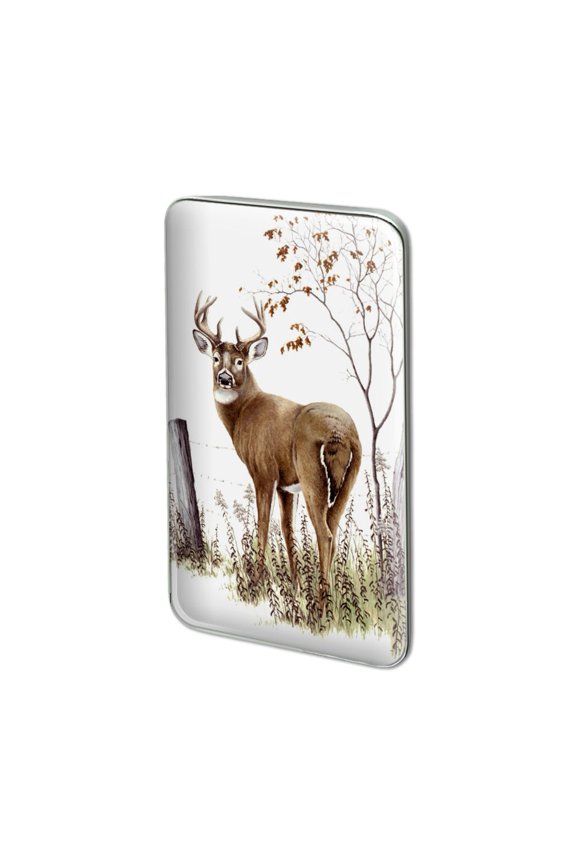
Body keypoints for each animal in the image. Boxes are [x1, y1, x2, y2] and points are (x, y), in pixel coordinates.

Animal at [193, 293, 361, 612]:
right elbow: (287, 529)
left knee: (325, 534)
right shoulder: (286, 484)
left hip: (312, 476)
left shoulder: (263, 472)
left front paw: (256, 585)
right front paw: (295, 586)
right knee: (333, 529)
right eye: (215, 358)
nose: (224, 378)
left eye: (240, 361)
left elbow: (262, 526)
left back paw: (320, 608)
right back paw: (331, 600)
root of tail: (339, 433)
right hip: (348, 478)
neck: (243, 414)